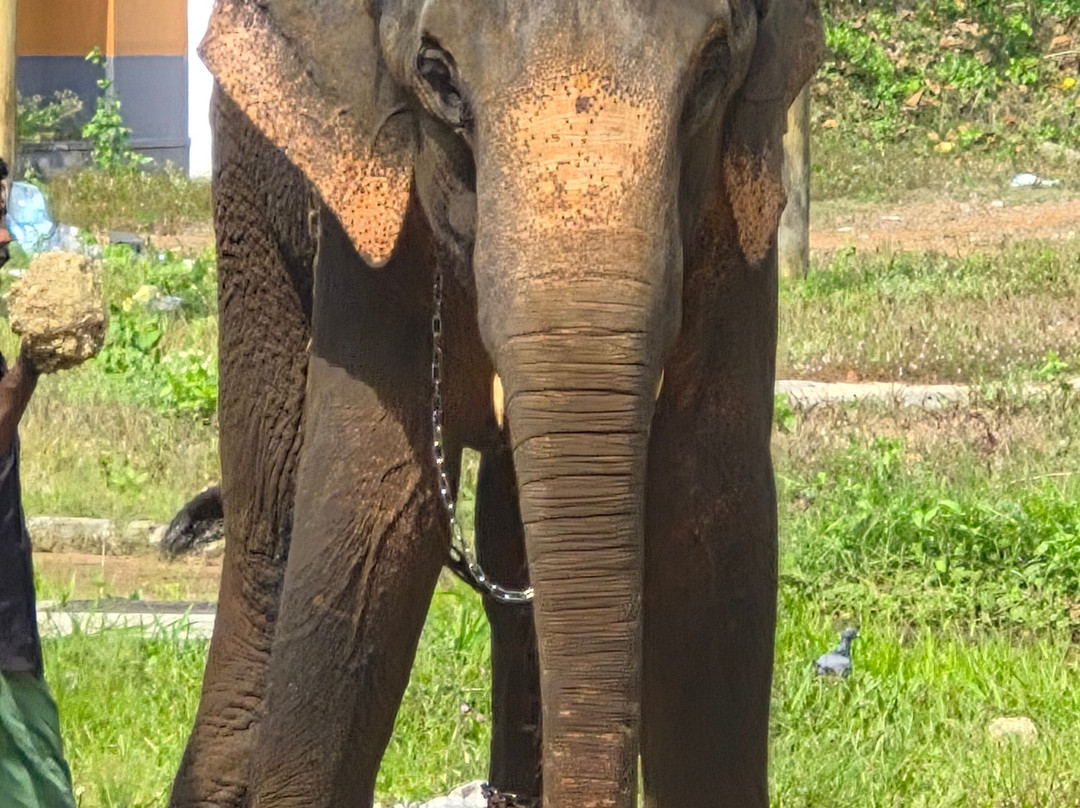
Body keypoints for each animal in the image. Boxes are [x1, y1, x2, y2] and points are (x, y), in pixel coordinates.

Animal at [170, 1, 822, 807]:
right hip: (248, 191)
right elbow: (369, 507)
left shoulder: (734, 216)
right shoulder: (377, 200)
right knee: (271, 520)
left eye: (710, 70)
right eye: (438, 76)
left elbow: (708, 508)